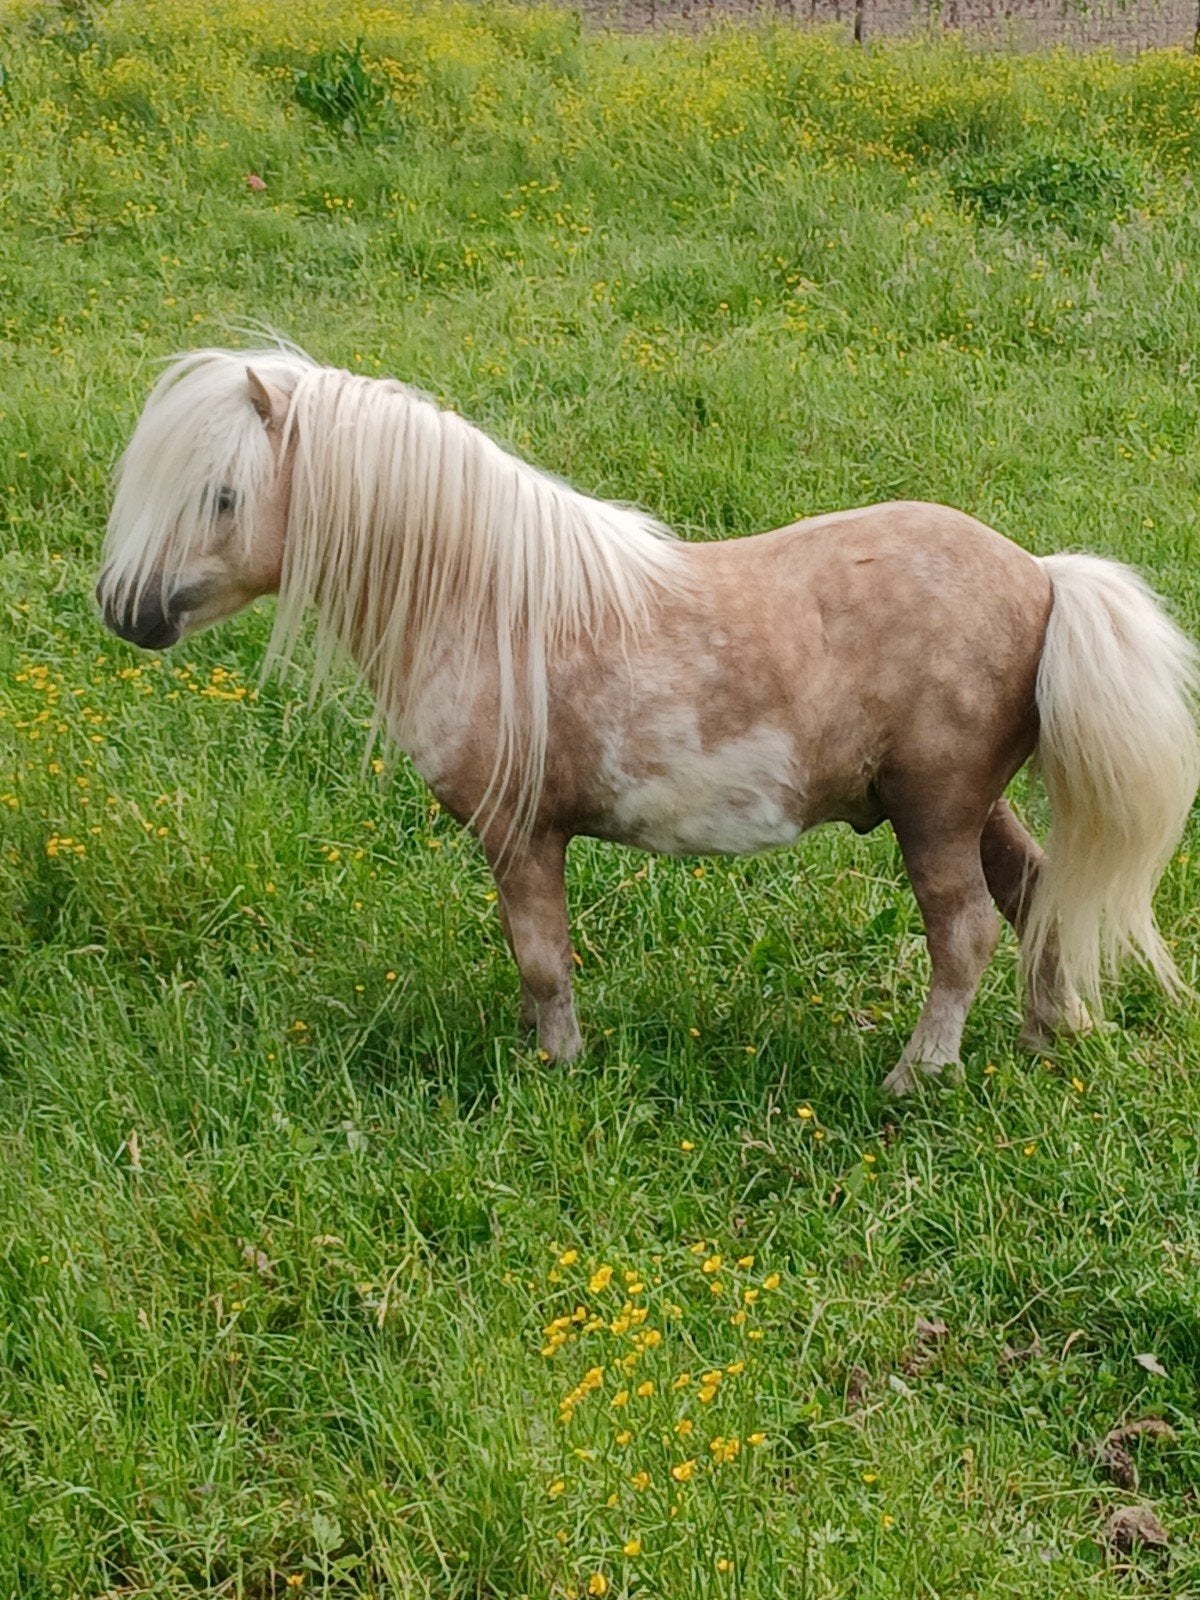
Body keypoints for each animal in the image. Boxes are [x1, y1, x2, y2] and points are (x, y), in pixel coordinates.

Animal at [96, 347, 1200, 1094]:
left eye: (223, 495)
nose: (124, 610)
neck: (489, 604)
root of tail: (1041, 577)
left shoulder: (520, 834)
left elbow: (542, 960)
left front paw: (558, 1069)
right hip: (968, 806)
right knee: (1038, 897)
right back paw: (1048, 1036)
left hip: (935, 810)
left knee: (965, 931)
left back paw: (917, 1077)